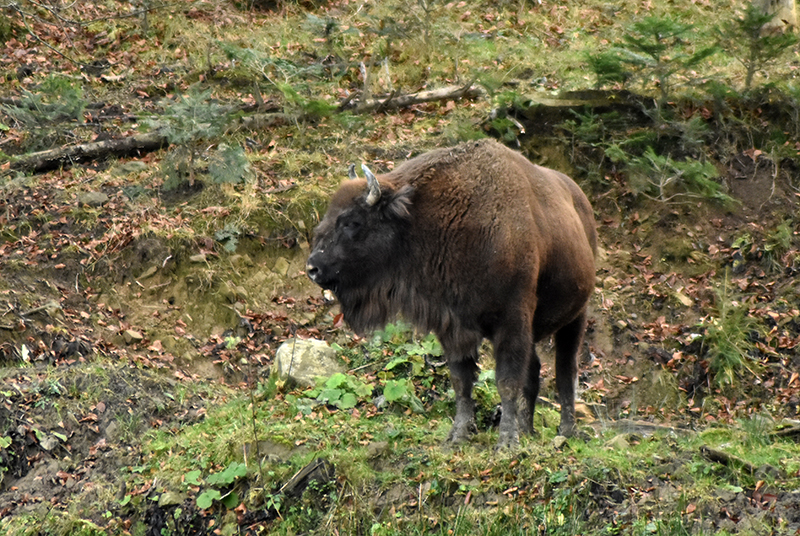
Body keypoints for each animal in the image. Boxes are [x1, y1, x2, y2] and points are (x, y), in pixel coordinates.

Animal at [306, 138, 592, 448]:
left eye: (352, 221)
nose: (313, 268)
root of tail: (581, 202)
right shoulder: (452, 324)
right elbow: (461, 381)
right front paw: (458, 436)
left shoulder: (512, 321)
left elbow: (507, 381)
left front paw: (506, 442)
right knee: (536, 369)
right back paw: (528, 430)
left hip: (576, 316)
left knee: (565, 372)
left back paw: (566, 431)